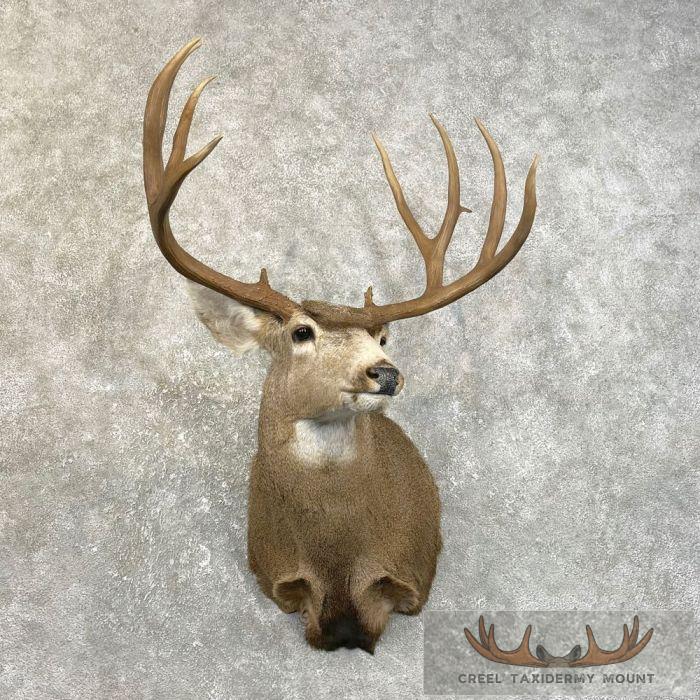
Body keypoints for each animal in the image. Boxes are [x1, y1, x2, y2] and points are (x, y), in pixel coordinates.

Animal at [143, 38, 538, 654]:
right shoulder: (281, 576)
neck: (338, 559)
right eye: (301, 331)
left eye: (383, 335)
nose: (386, 372)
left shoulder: (407, 575)